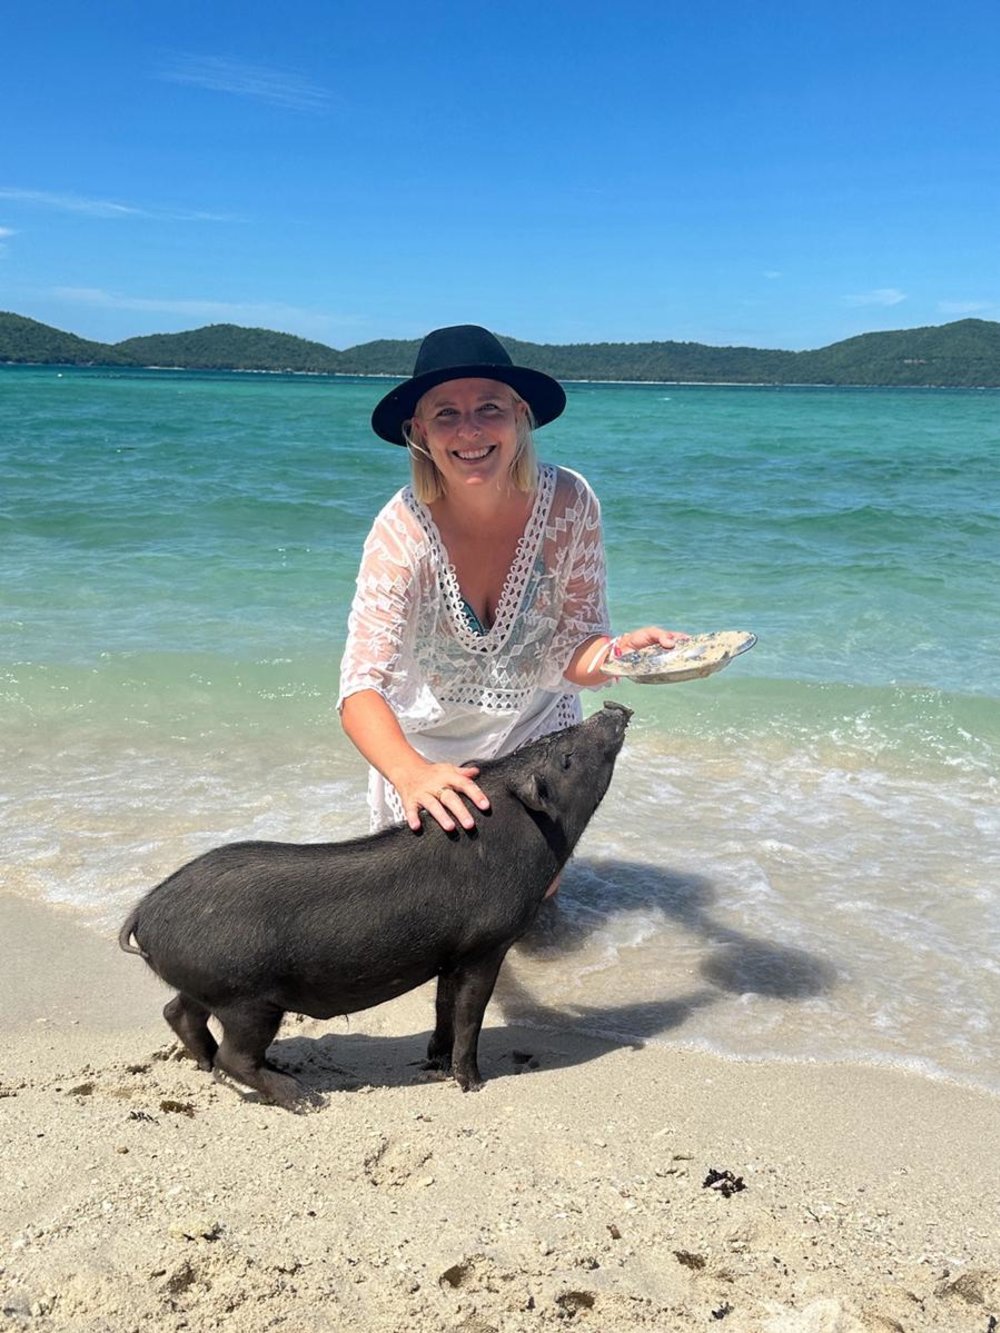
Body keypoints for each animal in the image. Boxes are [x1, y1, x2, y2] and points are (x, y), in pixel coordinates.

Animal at [119, 701, 632, 1108]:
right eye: (566, 758)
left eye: (552, 739)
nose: (614, 707)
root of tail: (145, 913)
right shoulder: (486, 946)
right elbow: (470, 1014)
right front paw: (473, 1084)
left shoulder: (450, 954)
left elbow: (445, 1007)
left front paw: (435, 1063)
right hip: (245, 997)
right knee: (236, 1053)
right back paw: (305, 1098)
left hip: (206, 983)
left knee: (179, 1012)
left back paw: (206, 1067)